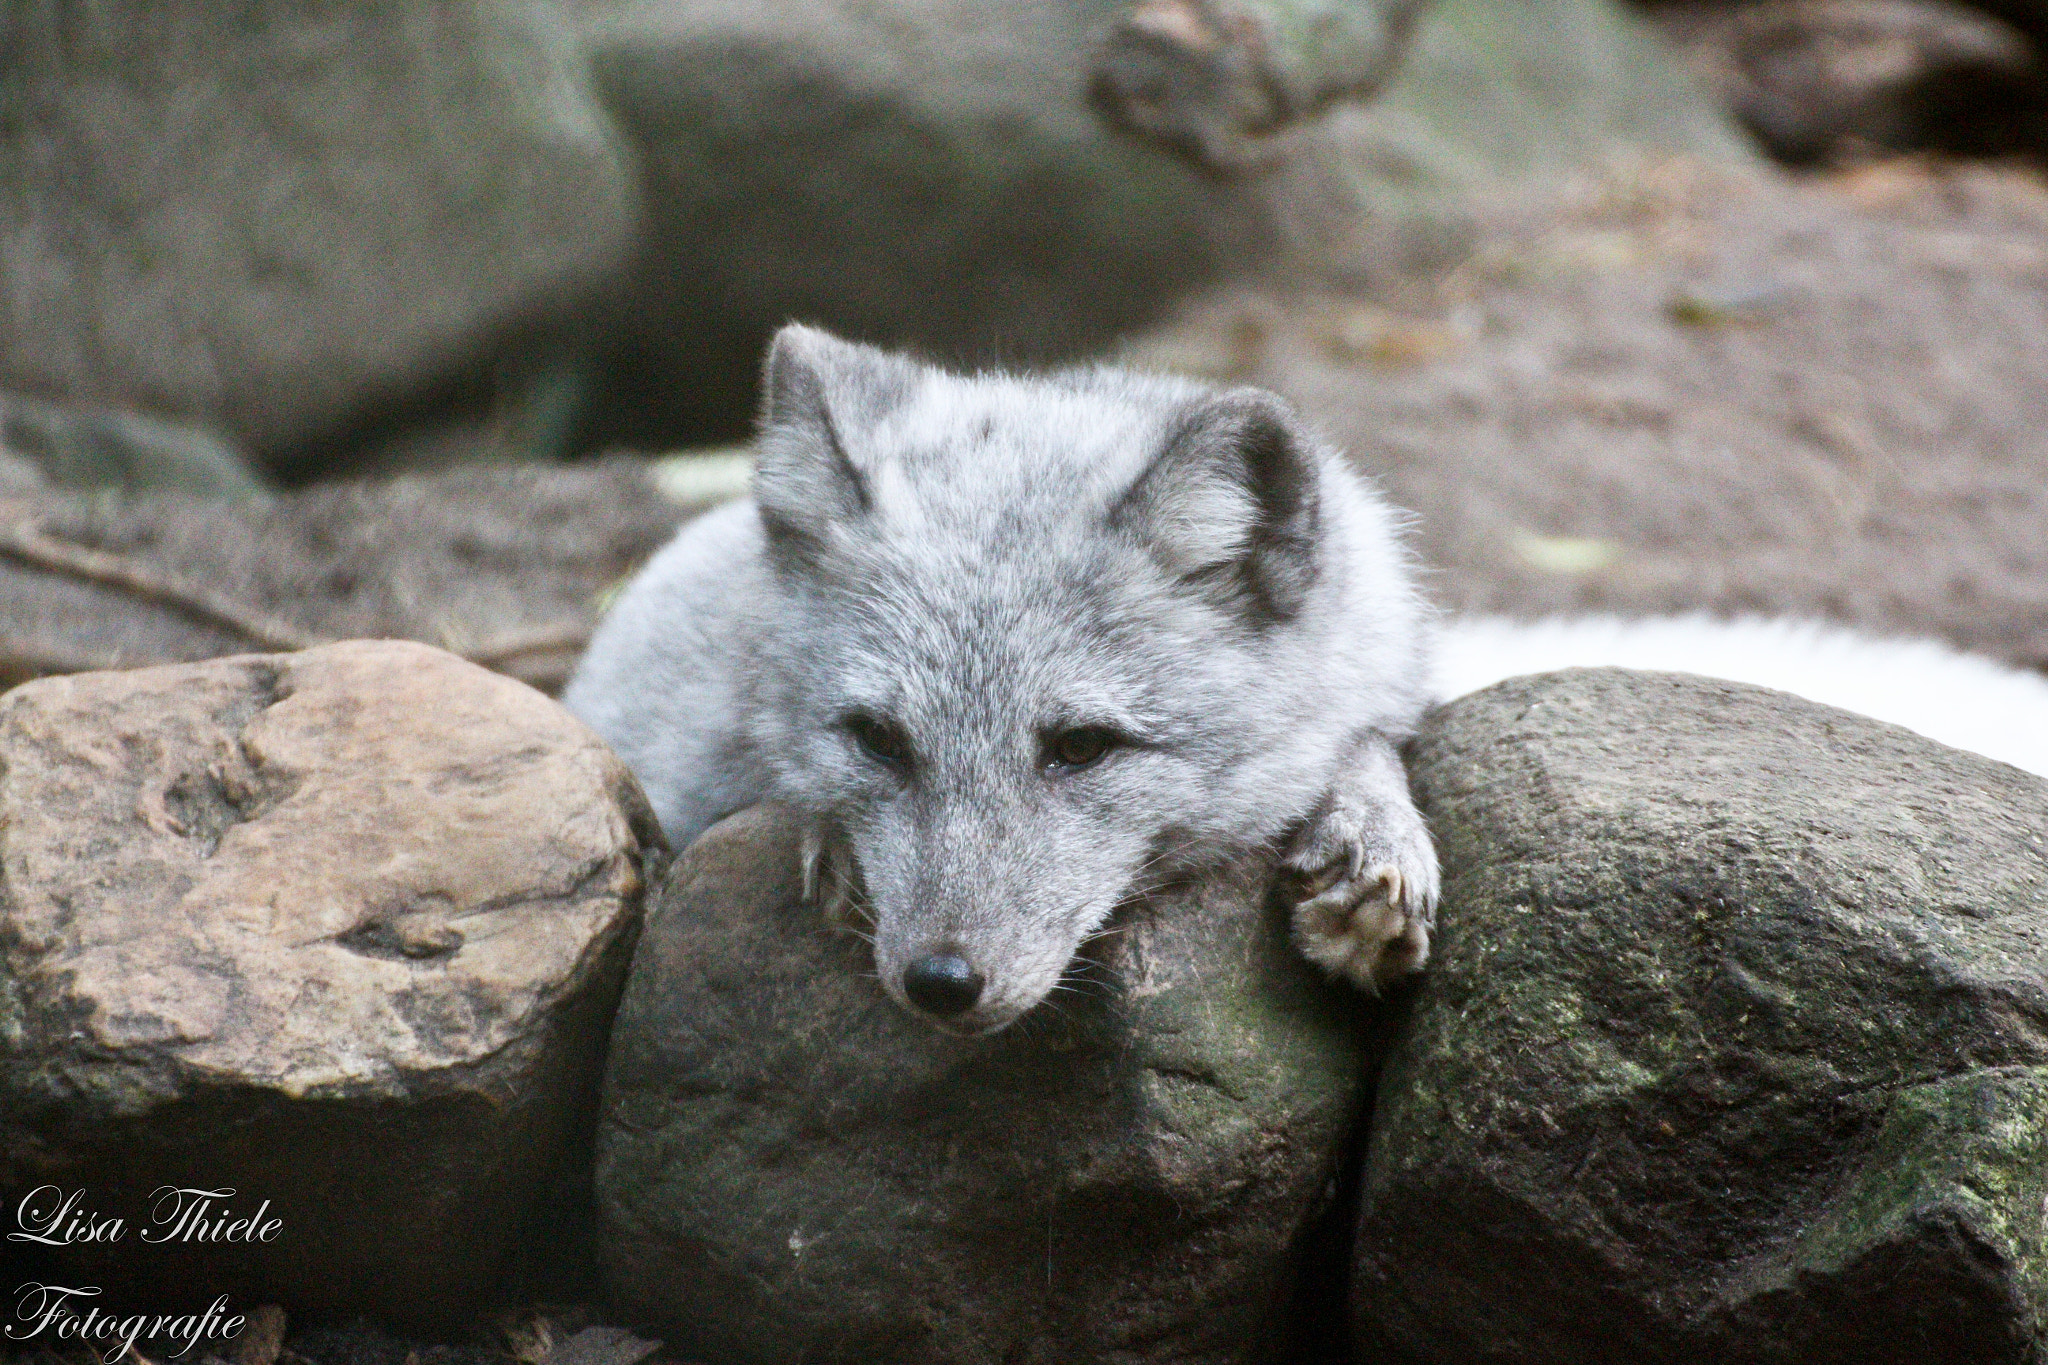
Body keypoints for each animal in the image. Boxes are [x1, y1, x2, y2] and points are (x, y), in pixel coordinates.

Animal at [569, 325, 2048, 1035]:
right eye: (875, 740)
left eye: (1081, 748)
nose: (938, 982)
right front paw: (824, 844)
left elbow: (1367, 743)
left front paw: (1369, 846)